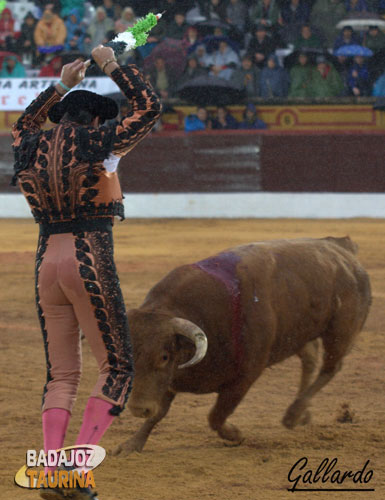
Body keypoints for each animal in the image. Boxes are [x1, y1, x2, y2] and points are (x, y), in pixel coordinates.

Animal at [112, 236, 370, 456]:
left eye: (164, 356)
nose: (138, 409)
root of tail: (344, 251)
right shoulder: (171, 380)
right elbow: (159, 413)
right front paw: (131, 445)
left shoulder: (245, 376)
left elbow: (216, 416)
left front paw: (235, 434)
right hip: (300, 333)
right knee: (310, 359)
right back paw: (302, 414)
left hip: (340, 333)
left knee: (331, 367)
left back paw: (293, 413)